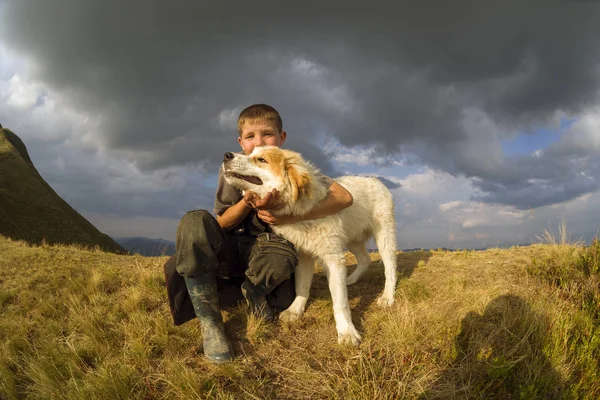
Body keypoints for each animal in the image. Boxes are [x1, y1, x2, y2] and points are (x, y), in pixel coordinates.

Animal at [220, 145, 398, 346]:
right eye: (250, 153)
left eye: (262, 160)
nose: (226, 155)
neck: (302, 212)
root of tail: (375, 180)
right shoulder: (303, 255)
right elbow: (302, 286)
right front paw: (295, 310)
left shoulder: (332, 257)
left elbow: (340, 302)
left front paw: (346, 332)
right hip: (351, 238)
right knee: (365, 259)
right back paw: (350, 279)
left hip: (384, 235)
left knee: (390, 267)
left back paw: (387, 296)